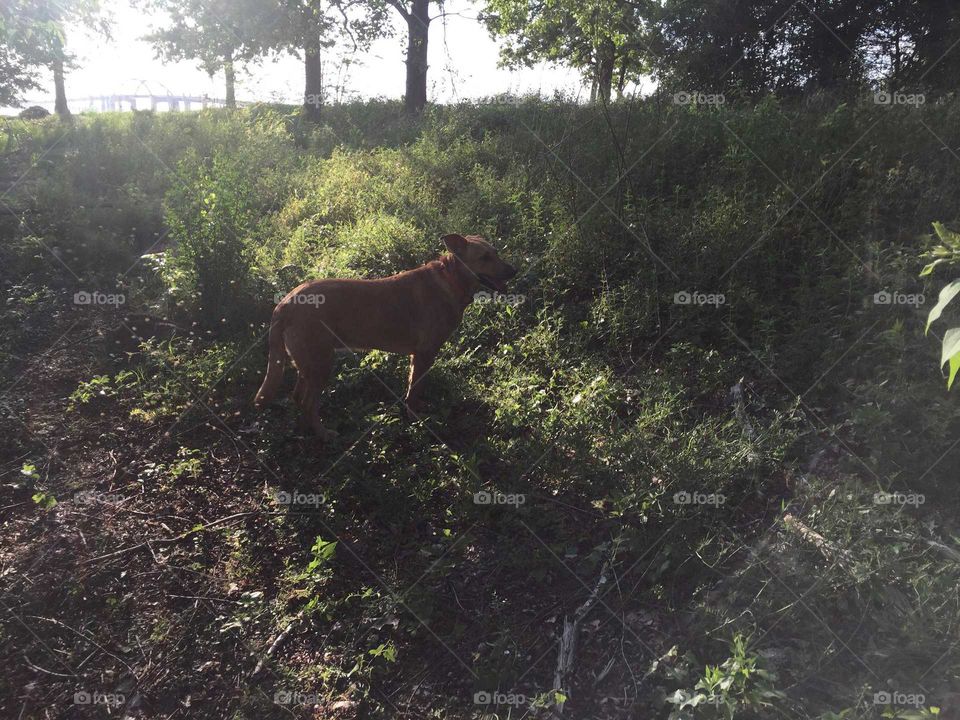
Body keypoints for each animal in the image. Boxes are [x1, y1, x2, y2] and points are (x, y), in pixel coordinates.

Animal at [251, 236, 512, 438]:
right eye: (484, 258)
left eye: (496, 253)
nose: (514, 270)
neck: (451, 280)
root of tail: (284, 303)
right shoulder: (424, 354)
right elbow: (414, 390)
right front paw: (415, 418)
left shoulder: (417, 357)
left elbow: (413, 387)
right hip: (321, 364)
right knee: (307, 402)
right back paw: (323, 434)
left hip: (309, 363)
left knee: (298, 397)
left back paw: (307, 430)